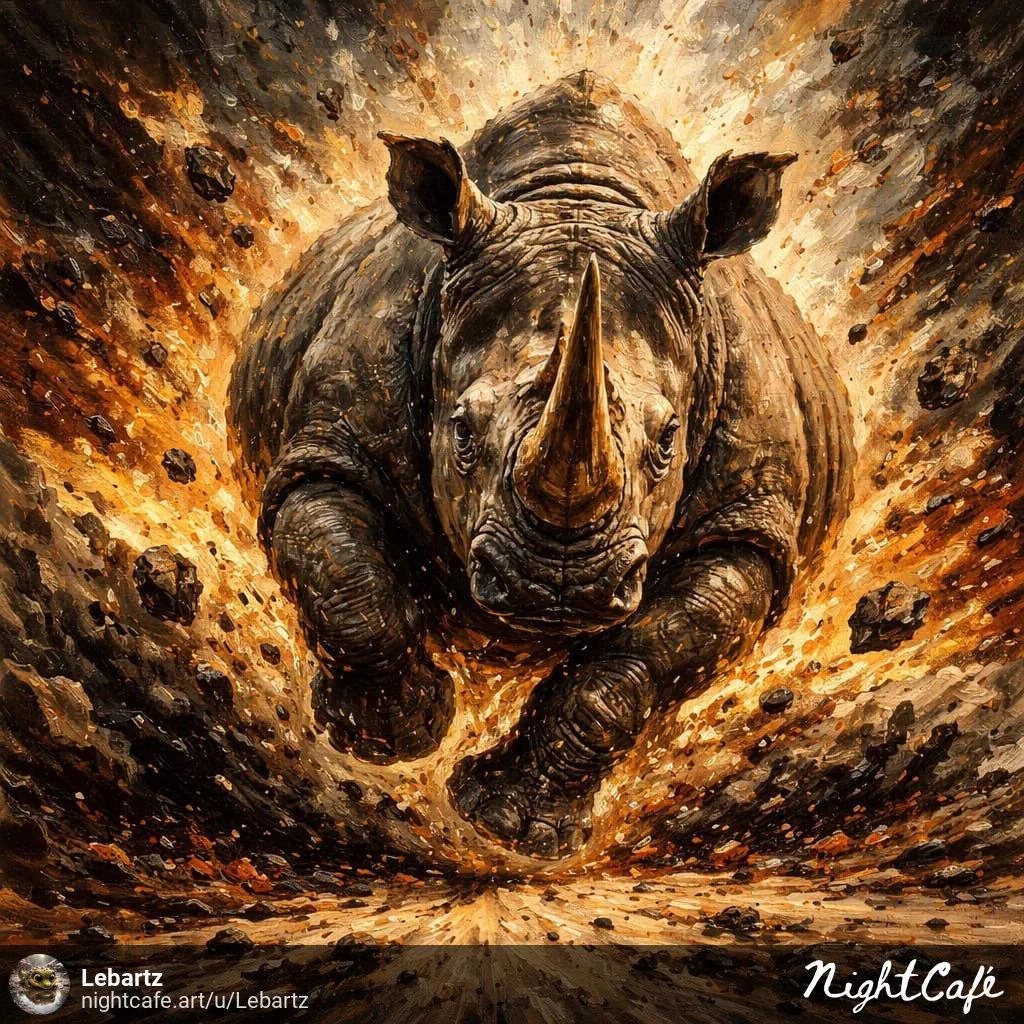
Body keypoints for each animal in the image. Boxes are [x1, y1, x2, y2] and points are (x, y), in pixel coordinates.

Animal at [229, 71, 853, 858]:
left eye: (669, 441)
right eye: (461, 432)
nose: (554, 588)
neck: (578, 193)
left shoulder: (748, 525)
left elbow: (635, 666)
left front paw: (509, 826)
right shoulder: (333, 440)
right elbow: (342, 570)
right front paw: (392, 736)